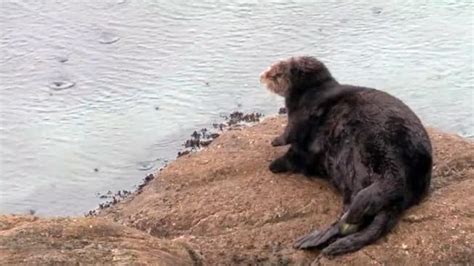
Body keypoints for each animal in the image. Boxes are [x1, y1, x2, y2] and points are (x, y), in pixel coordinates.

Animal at [260, 55, 434, 256]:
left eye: (275, 72)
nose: (262, 76)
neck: (313, 90)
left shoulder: (303, 111)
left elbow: (291, 132)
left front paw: (275, 146)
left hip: (376, 155)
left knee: (379, 189)